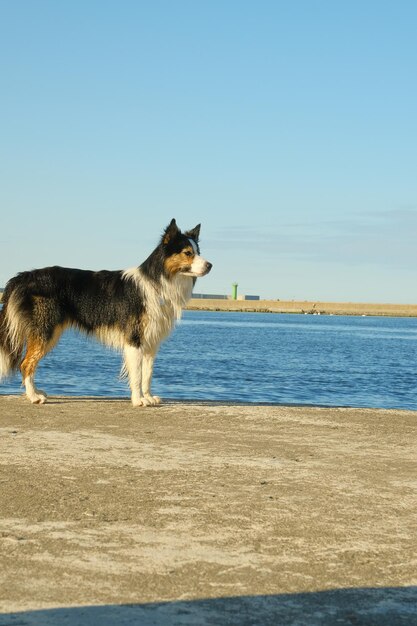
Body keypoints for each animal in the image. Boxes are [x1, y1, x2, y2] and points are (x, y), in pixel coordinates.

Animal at [0, 219, 211, 404]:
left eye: (198, 251)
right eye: (187, 253)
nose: (210, 265)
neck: (158, 282)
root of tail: (23, 276)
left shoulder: (151, 342)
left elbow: (147, 374)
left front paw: (149, 397)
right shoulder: (134, 339)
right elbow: (137, 375)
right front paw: (138, 401)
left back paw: (36, 392)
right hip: (45, 330)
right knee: (25, 364)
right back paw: (34, 397)